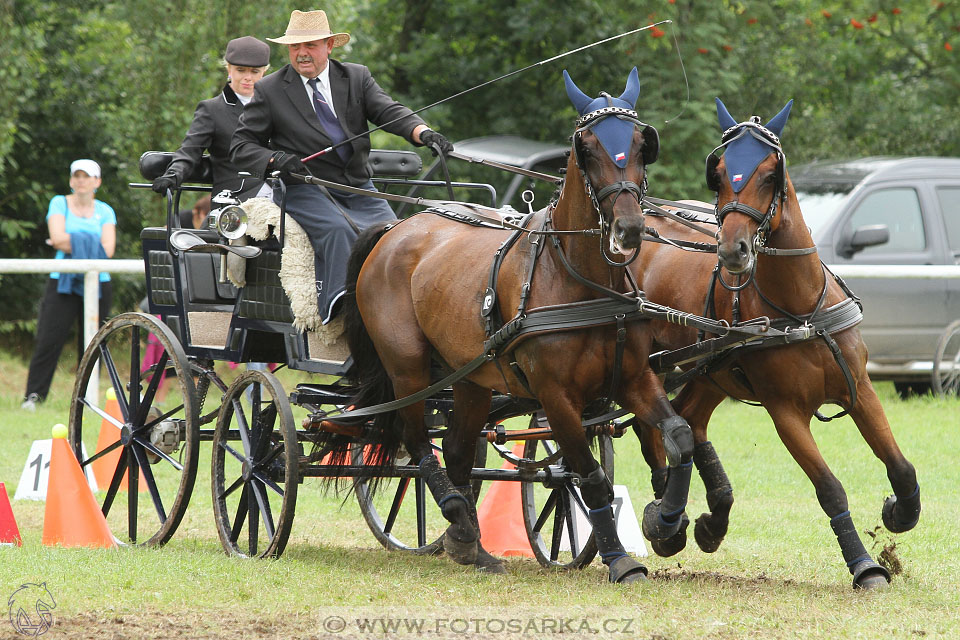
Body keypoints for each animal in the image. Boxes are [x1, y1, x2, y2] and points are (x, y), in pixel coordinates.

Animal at [324, 67, 696, 584]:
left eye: (643, 144)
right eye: (587, 147)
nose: (628, 230)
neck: (578, 280)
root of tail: (396, 229)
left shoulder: (634, 377)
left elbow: (679, 437)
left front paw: (667, 523)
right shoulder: (556, 396)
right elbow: (591, 477)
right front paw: (620, 559)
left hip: (469, 377)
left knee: (457, 449)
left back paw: (470, 542)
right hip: (407, 366)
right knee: (417, 440)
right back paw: (458, 518)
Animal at [632, 96, 920, 592]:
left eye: (770, 173)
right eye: (719, 171)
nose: (733, 250)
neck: (800, 308)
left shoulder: (860, 389)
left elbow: (900, 466)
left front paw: (898, 513)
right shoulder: (785, 412)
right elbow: (829, 488)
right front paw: (865, 566)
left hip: (713, 371)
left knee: (688, 420)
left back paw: (709, 517)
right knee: (651, 425)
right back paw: (667, 520)